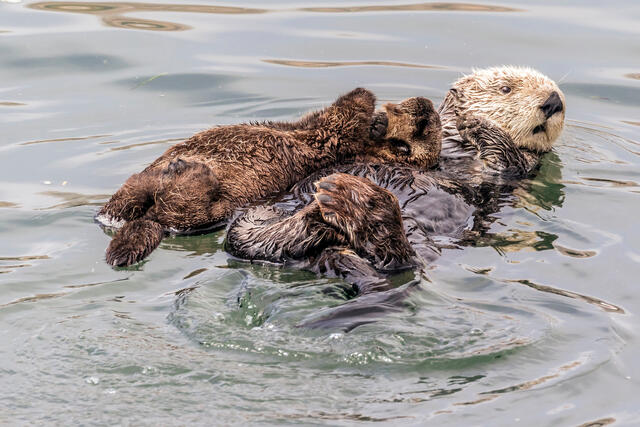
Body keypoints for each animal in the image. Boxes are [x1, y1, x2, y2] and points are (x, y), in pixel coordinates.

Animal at [97, 89, 442, 267]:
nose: (425, 109)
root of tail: (151, 219)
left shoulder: (331, 138)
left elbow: (345, 114)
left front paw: (369, 107)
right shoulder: (314, 128)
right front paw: (377, 118)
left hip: (213, 212)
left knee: (181, 213)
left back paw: (189, 173)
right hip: (134, 201)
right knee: (122, 204)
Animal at [225, 66, 566, 303]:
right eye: (506, 88)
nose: (553, 101)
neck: (458, 146)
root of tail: (333, 248)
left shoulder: (520, 170)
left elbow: (507, 161)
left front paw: (480, 125)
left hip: (418, 241)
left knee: (400, 261)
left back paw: (358, 203)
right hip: (256, 219)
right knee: (248, 240)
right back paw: (323, 211)